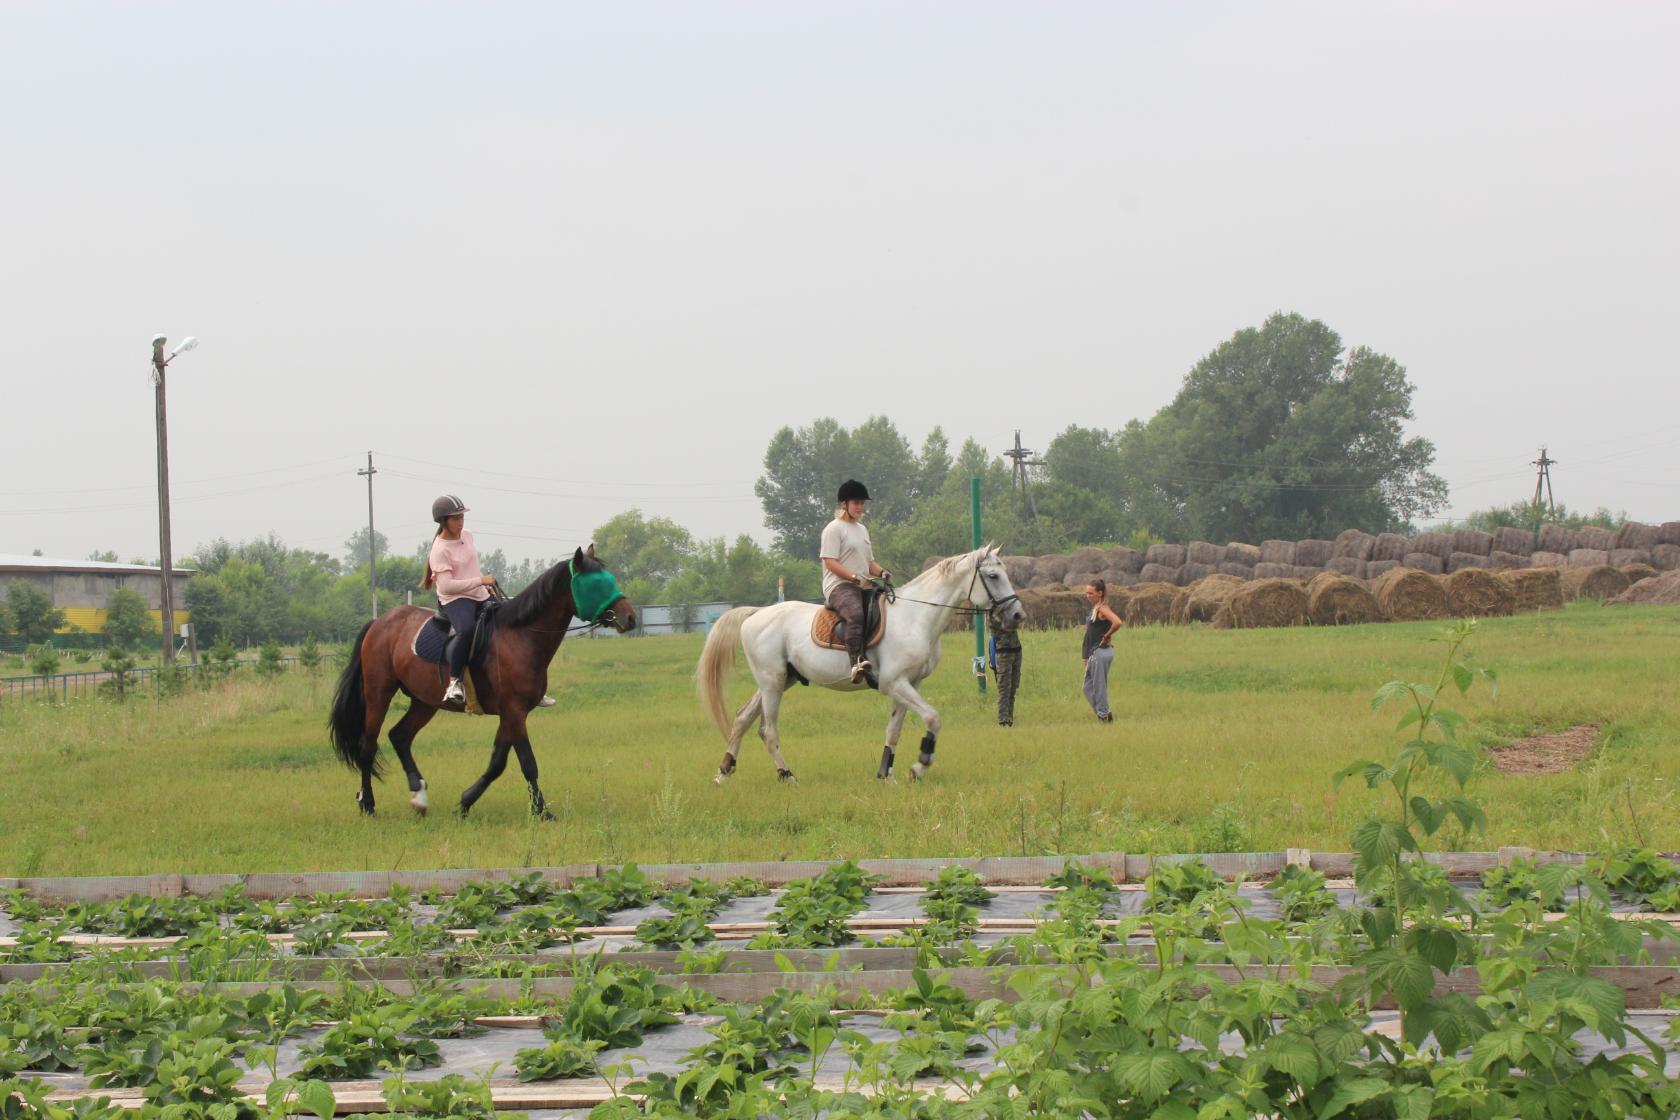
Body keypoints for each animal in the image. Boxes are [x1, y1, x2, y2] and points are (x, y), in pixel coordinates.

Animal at [327, 547, 635, 819]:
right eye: (596, 584)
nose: (630, 617)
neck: (521, 637)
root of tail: (379, 623)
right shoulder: (513, 710)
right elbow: (528, 763)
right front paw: (542, 812)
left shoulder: (513, 713)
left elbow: (498, 762)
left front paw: (465, 803)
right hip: (379, 692)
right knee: (368, 746)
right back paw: (368, 804)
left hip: (425, 701)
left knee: (399, 736)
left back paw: (419, 795)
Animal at [695, 547, 1021, 785]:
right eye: (993, 575)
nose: (1017, 614)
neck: (915, 617)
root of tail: (755, 614)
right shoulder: (895, 683)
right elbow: (932, 718)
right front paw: (919, 766)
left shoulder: (910, 684)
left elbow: (894, 731)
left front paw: (886, 775)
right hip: (772, 683)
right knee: (768, 730)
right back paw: (787, 775)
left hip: (779, 681)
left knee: (742, 719)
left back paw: (724, 772)